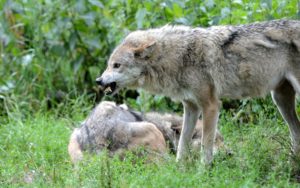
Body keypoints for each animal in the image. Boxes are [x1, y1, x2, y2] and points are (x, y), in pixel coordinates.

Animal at [96, 19, 300, 164]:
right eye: (109, 65)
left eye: (117, 65)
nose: (98, 81)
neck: (178, 57)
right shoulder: (191, 107)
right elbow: (182, 144)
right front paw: (178, 170)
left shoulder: (211, 105)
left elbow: (205, 145)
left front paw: (204, 172)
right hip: (280, 100)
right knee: (296, 131)